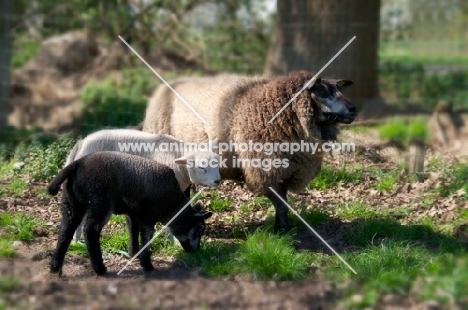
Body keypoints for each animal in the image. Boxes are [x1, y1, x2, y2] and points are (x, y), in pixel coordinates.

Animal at [47, 151, 212, 274]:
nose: (196, 250)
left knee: (65, 230)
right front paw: (147, 265)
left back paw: (55, 266)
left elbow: (133, 231)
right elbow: (146, 238)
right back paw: (99, 268)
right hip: (100, 201)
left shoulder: (133, 213)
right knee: (90, 231)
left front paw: (134, 254)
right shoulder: (149, 216)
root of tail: (78, 164)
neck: (172, 206)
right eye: (198, 231)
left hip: (71, 202)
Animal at [64, 128, 221, 242]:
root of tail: (82, 143)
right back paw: (76, 240)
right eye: (201, 167)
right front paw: (173, 240)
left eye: (217, 163)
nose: (217, 181)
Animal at [141, 69, 356, 230]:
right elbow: (279, 201)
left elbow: (284, 202)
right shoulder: (263, 170)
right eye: (322, 92)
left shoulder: (287, 169)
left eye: (339, 89)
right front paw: (281, 230)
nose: (353, 108)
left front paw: (284, 228)